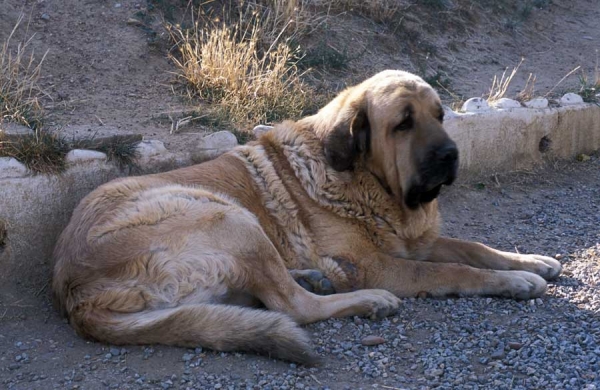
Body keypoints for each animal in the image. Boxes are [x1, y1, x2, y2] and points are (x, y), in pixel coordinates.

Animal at [52, 69, 564, 362]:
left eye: (440, 115)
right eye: (403, 123)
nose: (452, 155)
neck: (367, 182)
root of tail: (75, 294)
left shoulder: (414, 241)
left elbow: (473, 248)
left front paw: (531, 261)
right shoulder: (378, 264)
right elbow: (454, 270)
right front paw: (515, 282)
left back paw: (313, 278)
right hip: (227, 217)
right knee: (292, 306)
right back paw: (365, 300)